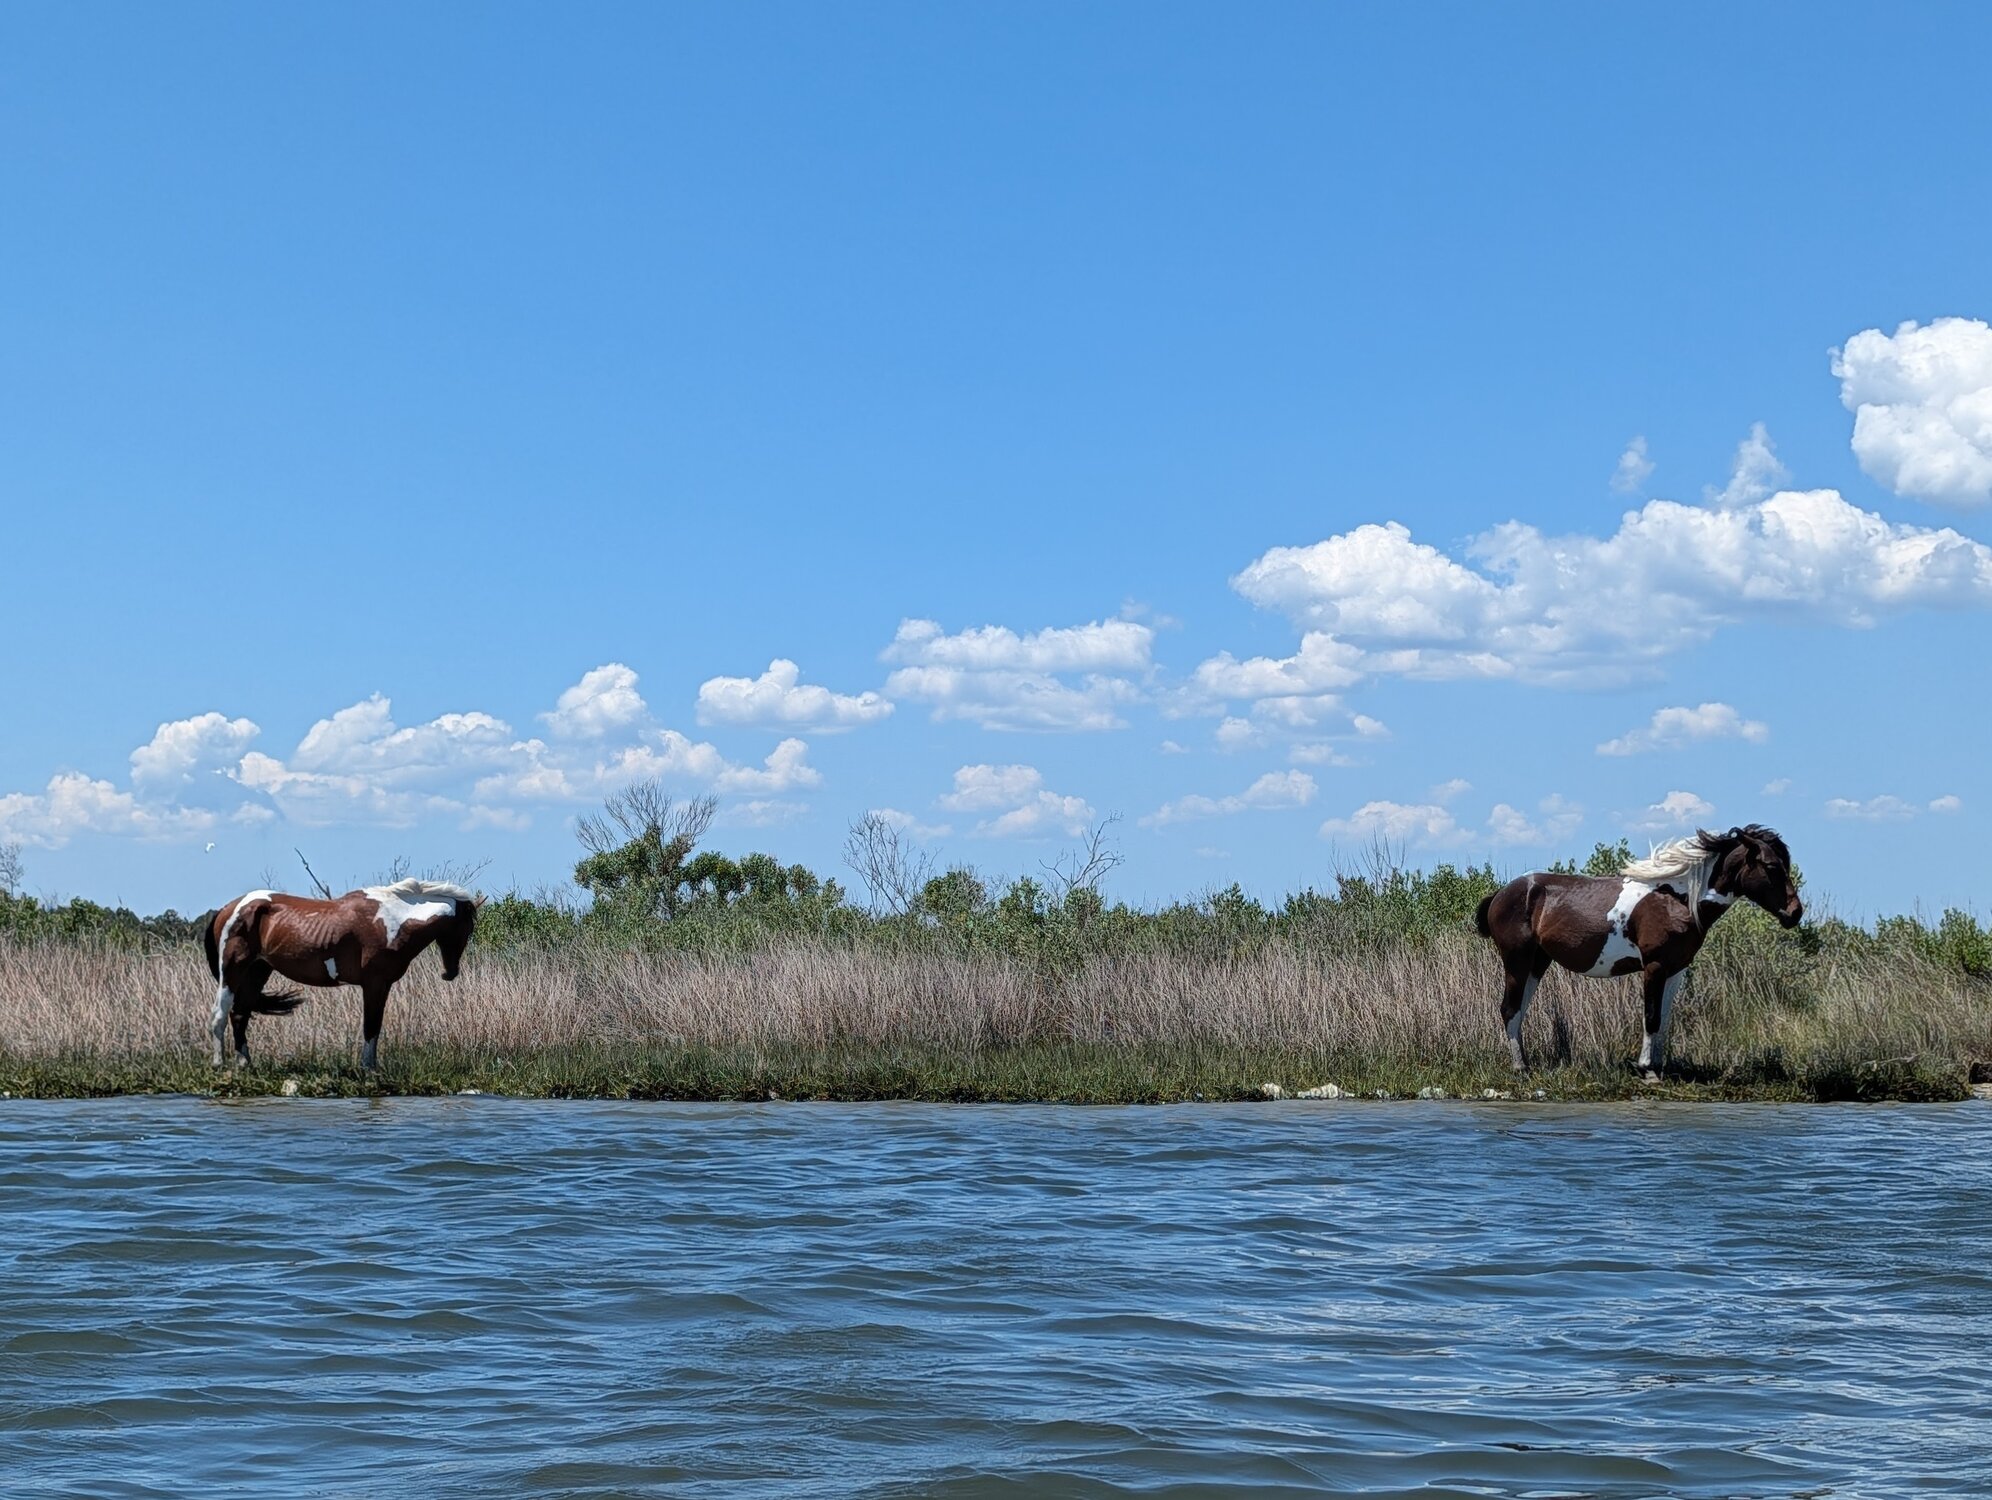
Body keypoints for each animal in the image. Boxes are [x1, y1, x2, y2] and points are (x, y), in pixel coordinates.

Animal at [202, 879, 482, 1069]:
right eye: (467, 928)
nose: (450, 972)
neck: (394, 920)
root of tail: (227, 909)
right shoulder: (374, 984)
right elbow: (371, 1026)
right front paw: (368, 1069)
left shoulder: (383, 986)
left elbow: (375, 1026)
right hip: (233, 970)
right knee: (220, 1013)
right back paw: (219, 1064)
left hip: (258, 971)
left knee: (240, 1014)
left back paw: (245, 1064)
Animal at [1472, 825, 1802, 1081]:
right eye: (1772, 866)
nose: (1795, 913)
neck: (1677, 900)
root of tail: (1501, 894)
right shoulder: (1654, 966)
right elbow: (1651, 1017)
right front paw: (1647, 1070)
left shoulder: (1676, 969)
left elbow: (1665, 1019)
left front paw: (1660, 1067)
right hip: (1517, 960)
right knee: (1509, 1009)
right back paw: (1520, 1068)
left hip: (1538, 962)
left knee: (1520, 1010)